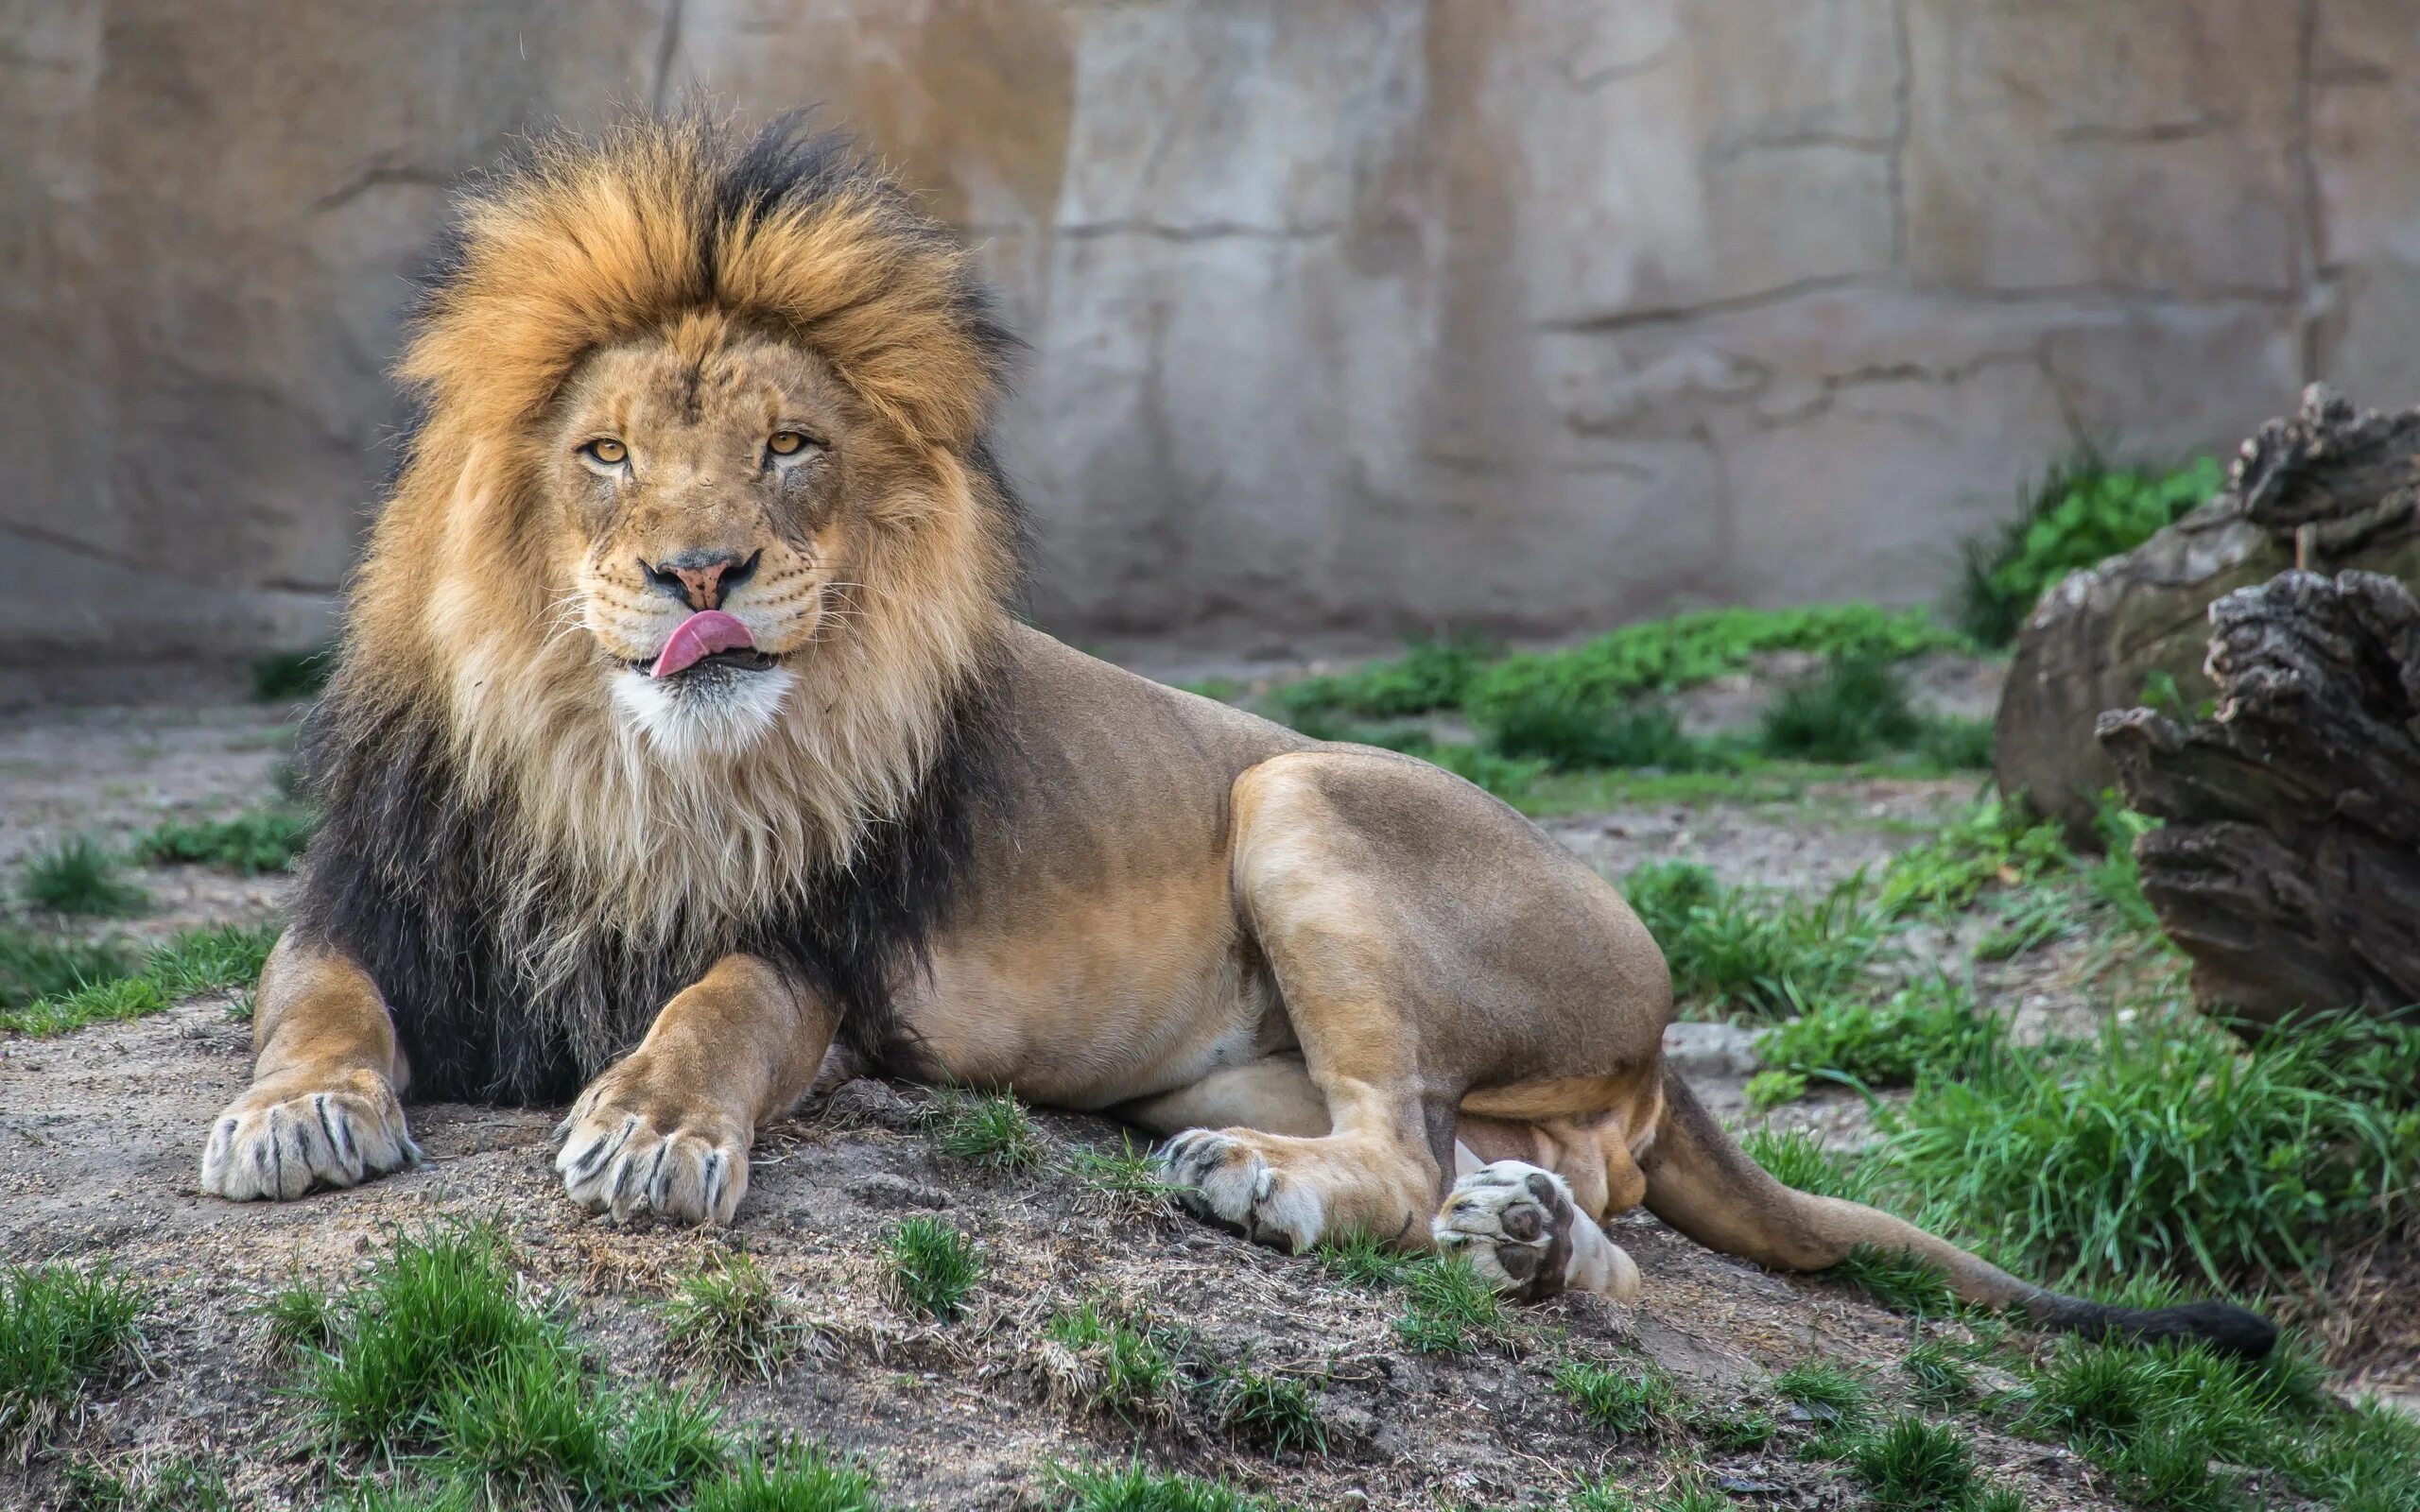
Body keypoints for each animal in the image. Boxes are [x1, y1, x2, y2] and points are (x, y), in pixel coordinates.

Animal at [198, 112, 2274, 1354]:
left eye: (787, 445)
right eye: (608, 451)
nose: (699, 567)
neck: (626, 760)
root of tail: (1670, 1026)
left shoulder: (826, 957)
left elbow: (713, 1007)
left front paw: (641, 1134)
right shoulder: (376, 891)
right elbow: (308, 1001)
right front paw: (293, 1118)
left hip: (1294, 792)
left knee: (1396, 1159)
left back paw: (1300, 1201)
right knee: (1533, 1196)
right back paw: (1531, 1241)